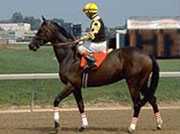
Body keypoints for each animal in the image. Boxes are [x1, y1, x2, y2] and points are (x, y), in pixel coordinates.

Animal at [28, 17, 163, 133]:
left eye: (41, 30)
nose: (31, 45)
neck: (69, 55)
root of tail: (147, 54)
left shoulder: (70, 84)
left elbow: (56, 100)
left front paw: (57, 126)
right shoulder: (76, 87)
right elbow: (81, 105)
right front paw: (83, 126)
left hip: (133, 83)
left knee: (137, 103)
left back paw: (131, 127)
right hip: (142, 83)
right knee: (152, 99)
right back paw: (159, 124)